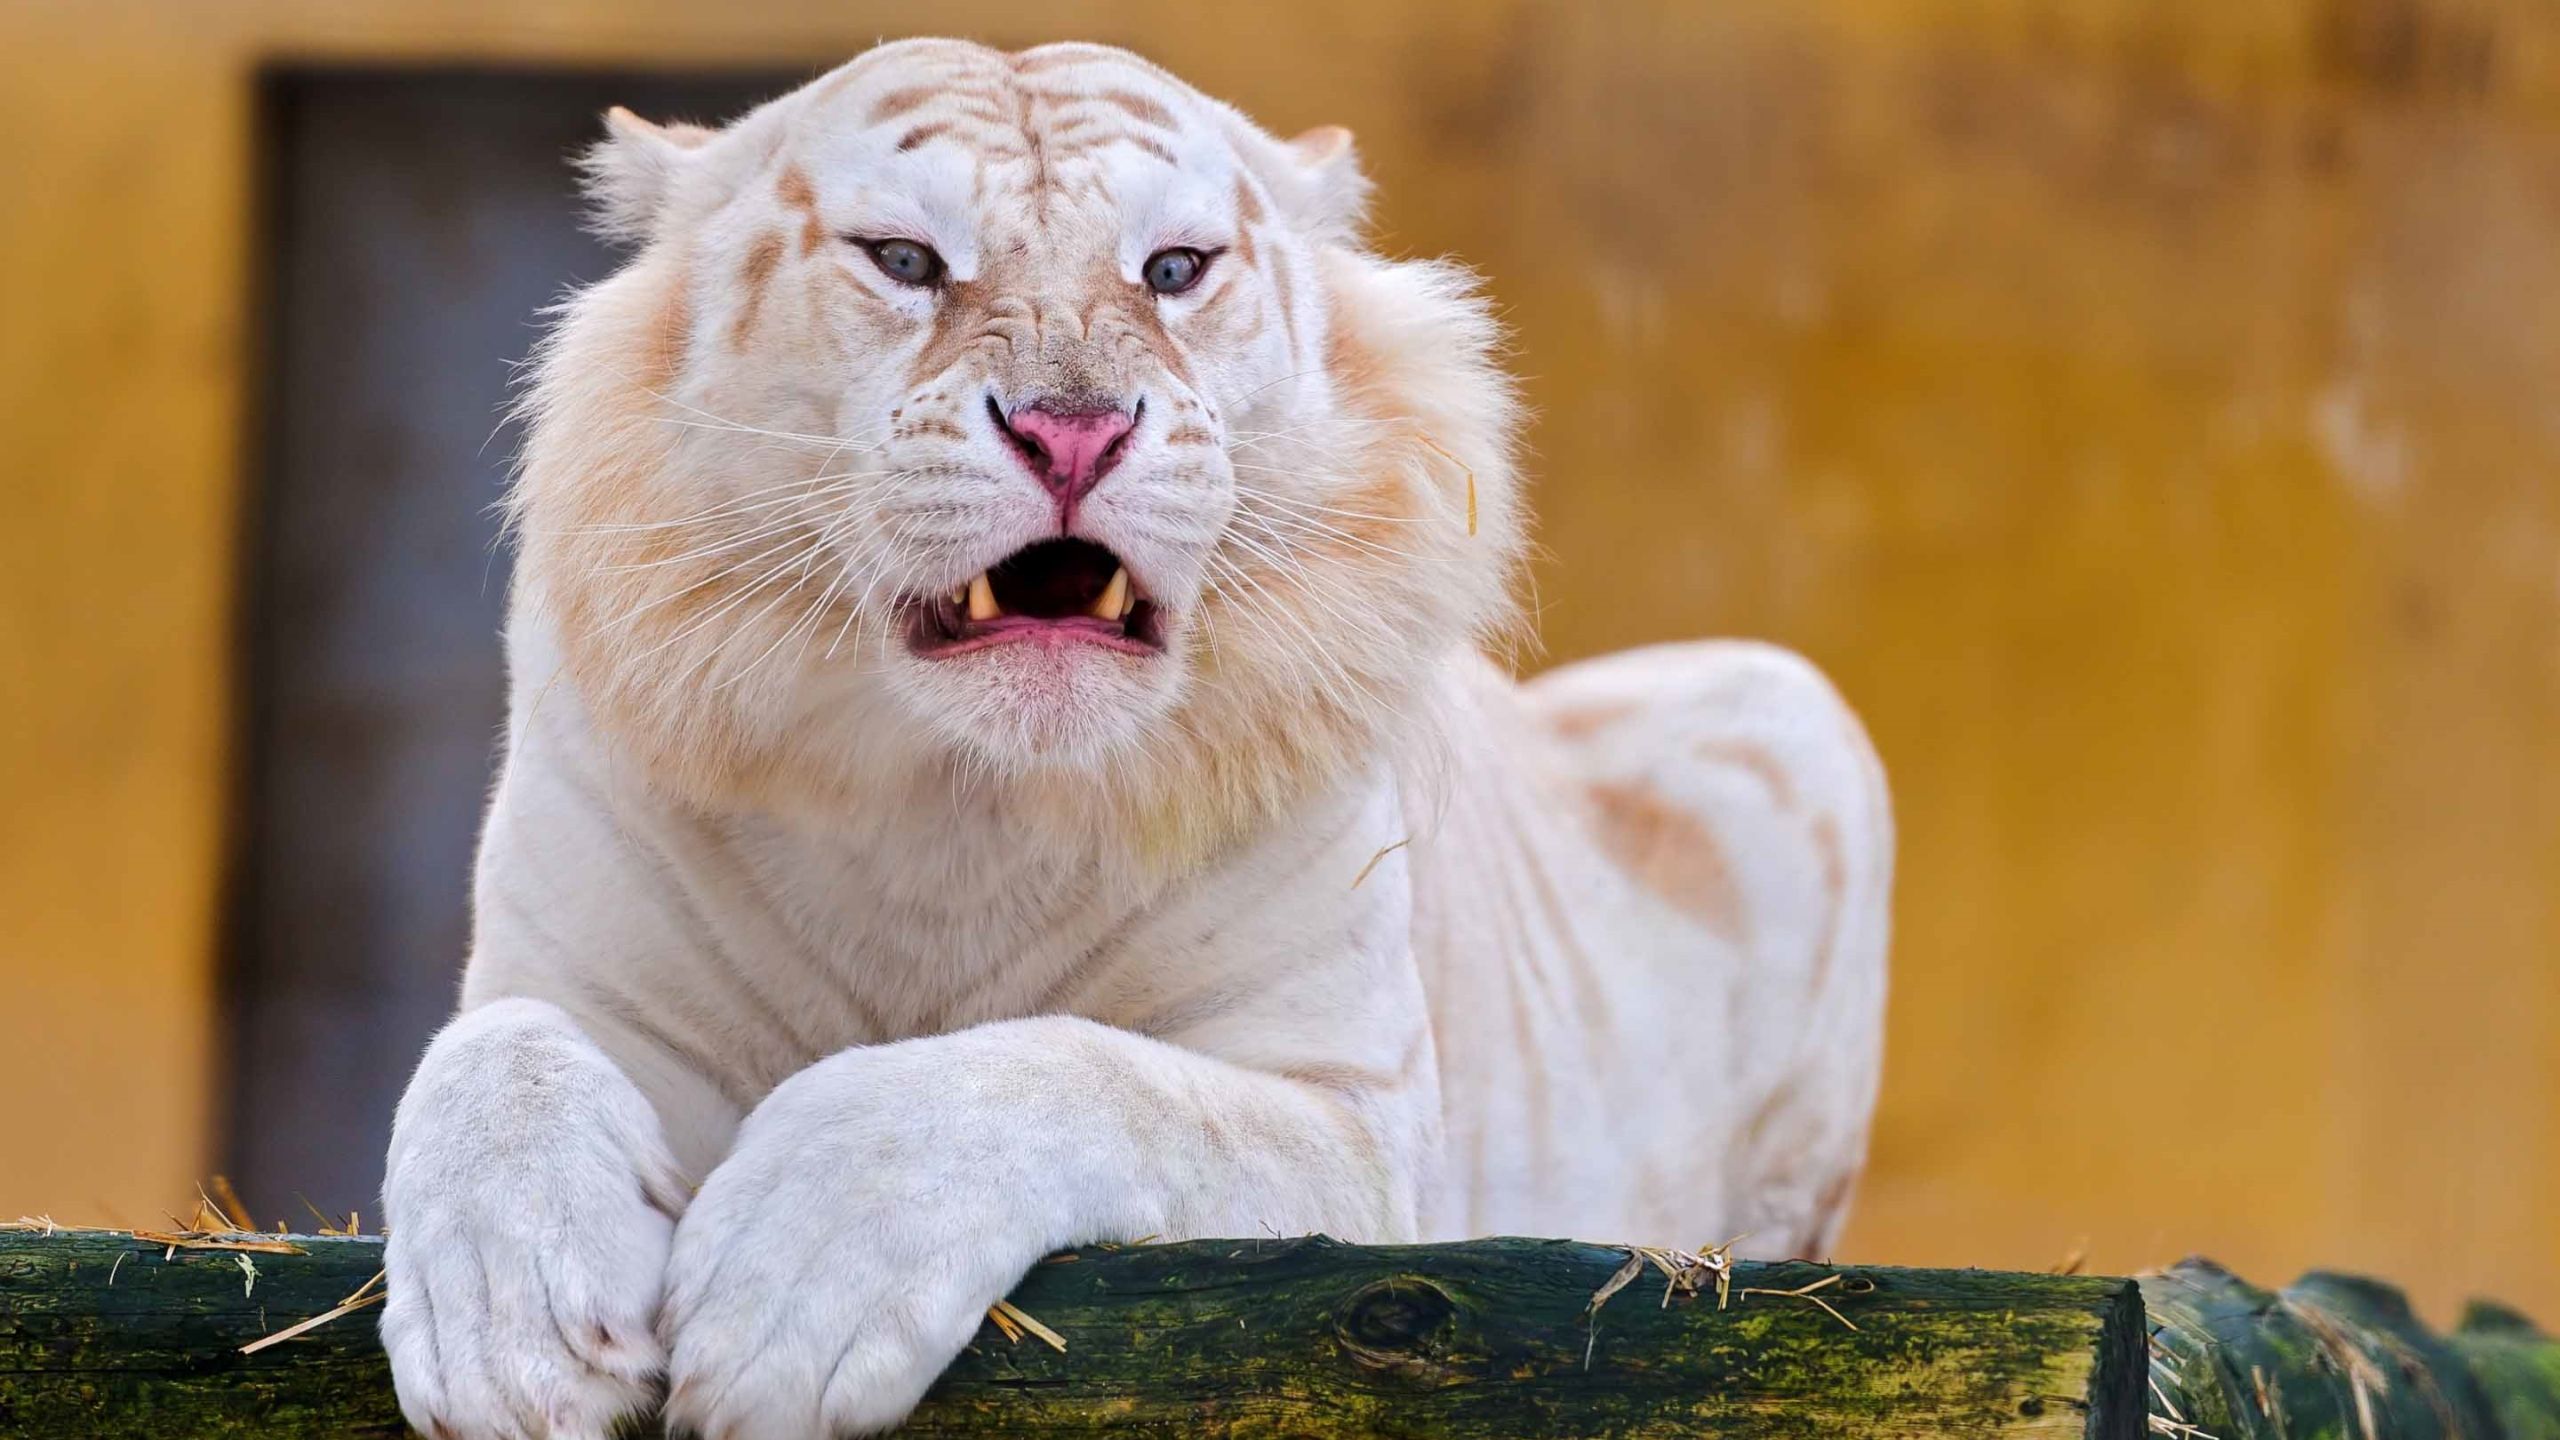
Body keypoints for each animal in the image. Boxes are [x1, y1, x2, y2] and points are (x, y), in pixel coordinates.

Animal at [379, 36, 1892, 1440]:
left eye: (1172, 268)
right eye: (903, 258)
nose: (1073, 432)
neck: (957, 805)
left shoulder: (1365, 1134)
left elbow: (1081, 1075)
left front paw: (785, 1295)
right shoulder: (580, 979)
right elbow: (493, 1052)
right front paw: (509, 1335)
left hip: (1788, 711)